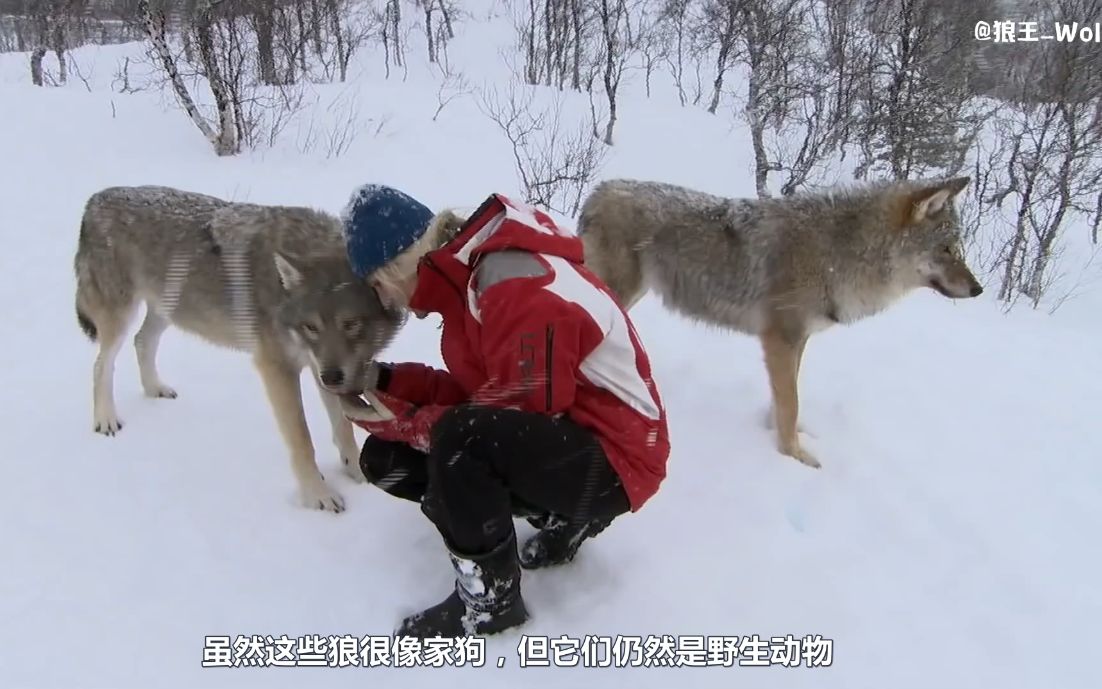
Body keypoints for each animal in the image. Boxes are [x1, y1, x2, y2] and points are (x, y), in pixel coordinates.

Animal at [75, 185, 407, 513]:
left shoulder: (320, 366)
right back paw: (105, 419)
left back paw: (155, 388)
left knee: (142, 341)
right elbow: (302, 439)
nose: (333, 378)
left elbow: (343, 427)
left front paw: (358, 475)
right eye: (311, 327)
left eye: (351, 324)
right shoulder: (276, 367)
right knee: (102, 364)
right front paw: (318, 495)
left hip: (168, 310)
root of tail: (95, 200)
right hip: (121, 317)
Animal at [577, 176, 982, 467]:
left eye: (959, 250)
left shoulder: (797, 341)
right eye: (947, 250)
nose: (978, 289)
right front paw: (793, 456)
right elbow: (791, 402)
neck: (842, 254)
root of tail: (600, 189)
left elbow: (786, 399)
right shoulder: (781, 339)